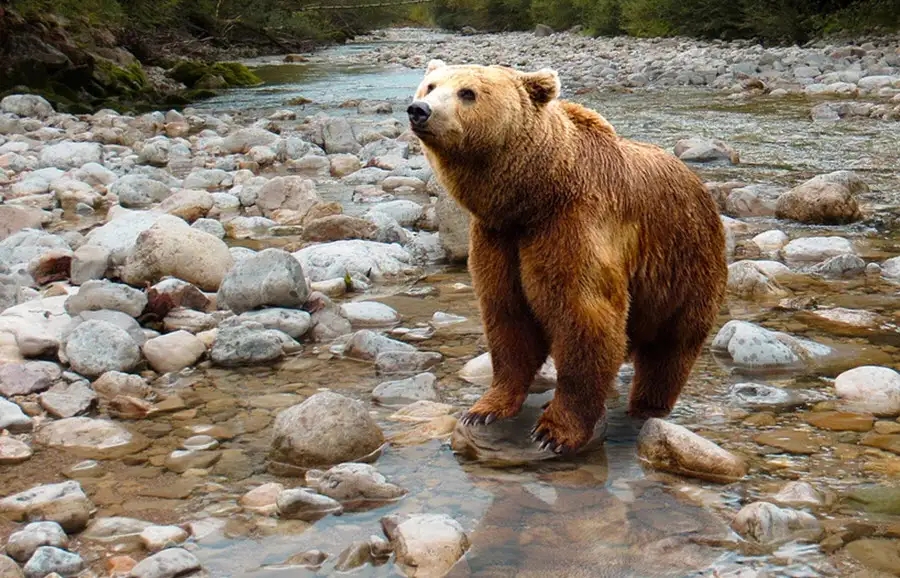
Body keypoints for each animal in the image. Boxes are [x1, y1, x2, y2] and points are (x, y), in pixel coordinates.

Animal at [407, 60, 728, 453]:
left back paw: (647, 405)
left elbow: (584, 317)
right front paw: (484, 409)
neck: (533, 196)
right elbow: (507, 317)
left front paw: (554, 431)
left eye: (467, 92)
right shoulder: (499, 238)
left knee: (670, 348)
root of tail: (700, 184)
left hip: (685, 264)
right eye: (430, 86)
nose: (419, 110)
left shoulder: (573, 224)